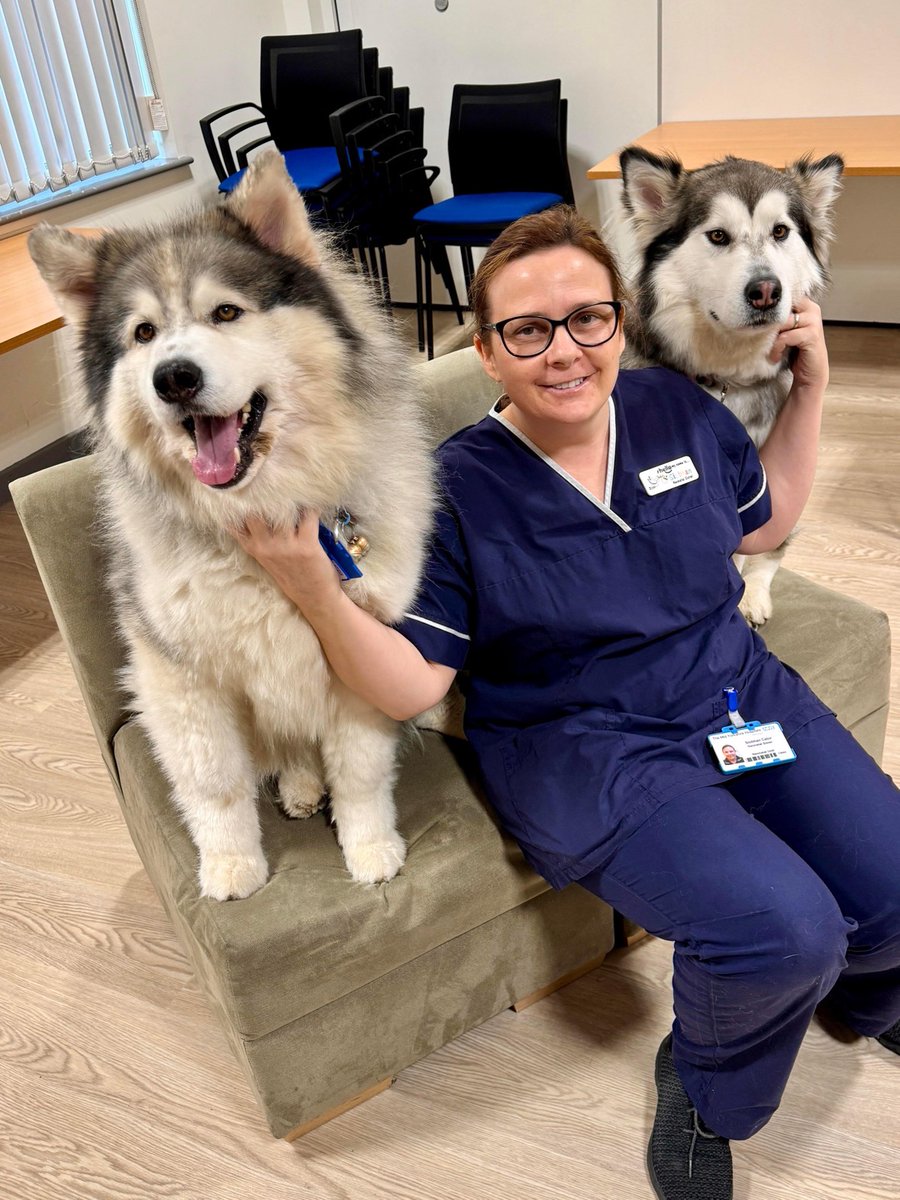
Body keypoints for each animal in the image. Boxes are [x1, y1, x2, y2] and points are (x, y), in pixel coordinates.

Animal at [28, 152, 436, 902]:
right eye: (143, 333)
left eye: (225, 312)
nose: (174, 379)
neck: (259, 512)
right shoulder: (182, 678)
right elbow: (214, 782)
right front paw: (230, 863)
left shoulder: (359, 655)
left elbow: (360, 771)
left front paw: (369, 847)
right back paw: (298, 788)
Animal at [619, 145, 844, 624]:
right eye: (718, 236)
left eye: (780, 232)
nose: (766, 291)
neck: (726, 377)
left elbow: (751, 544)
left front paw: (745, 591)